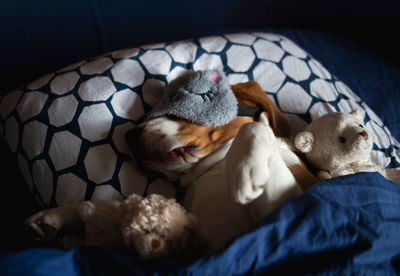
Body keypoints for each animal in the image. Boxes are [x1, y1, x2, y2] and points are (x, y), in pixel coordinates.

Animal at [126, 76, 318, 254]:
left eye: (176, 110)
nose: (128, 136)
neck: (218, 164)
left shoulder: (285, 212)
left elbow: (254, 126)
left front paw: (247, 173)